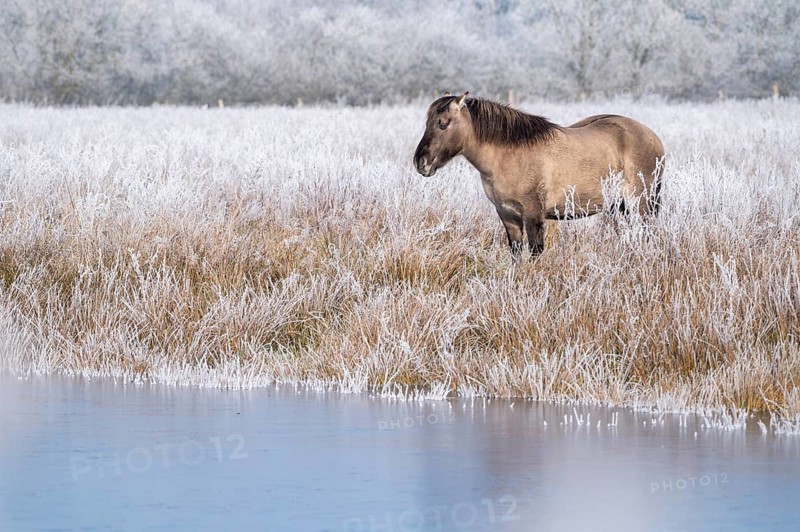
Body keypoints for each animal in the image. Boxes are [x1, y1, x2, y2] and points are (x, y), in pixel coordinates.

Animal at [413, 91, 665, 256]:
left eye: (443, 123)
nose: (420, 162)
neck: (509, 157)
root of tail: (652, 137)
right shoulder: (507, 215)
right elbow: (516, 252)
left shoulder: (533, 214)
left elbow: (535, 252)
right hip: (617, 207)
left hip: (642, 205)